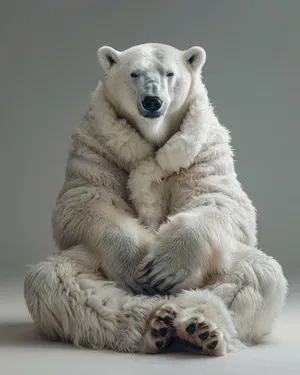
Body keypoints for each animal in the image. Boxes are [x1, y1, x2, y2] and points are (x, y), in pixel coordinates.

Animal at [24, 43, 288, 356]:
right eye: (134, 73)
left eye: (169, 73)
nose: (152, 101)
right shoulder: (96, 144)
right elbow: (86, 200)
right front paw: (136, 268)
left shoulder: (203, 148)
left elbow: (219, 200)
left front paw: (164, 268)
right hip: (87, 263)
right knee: (57, 280)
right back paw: (155, 324)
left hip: (223, 262)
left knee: (256, 276)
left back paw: (200, 326)